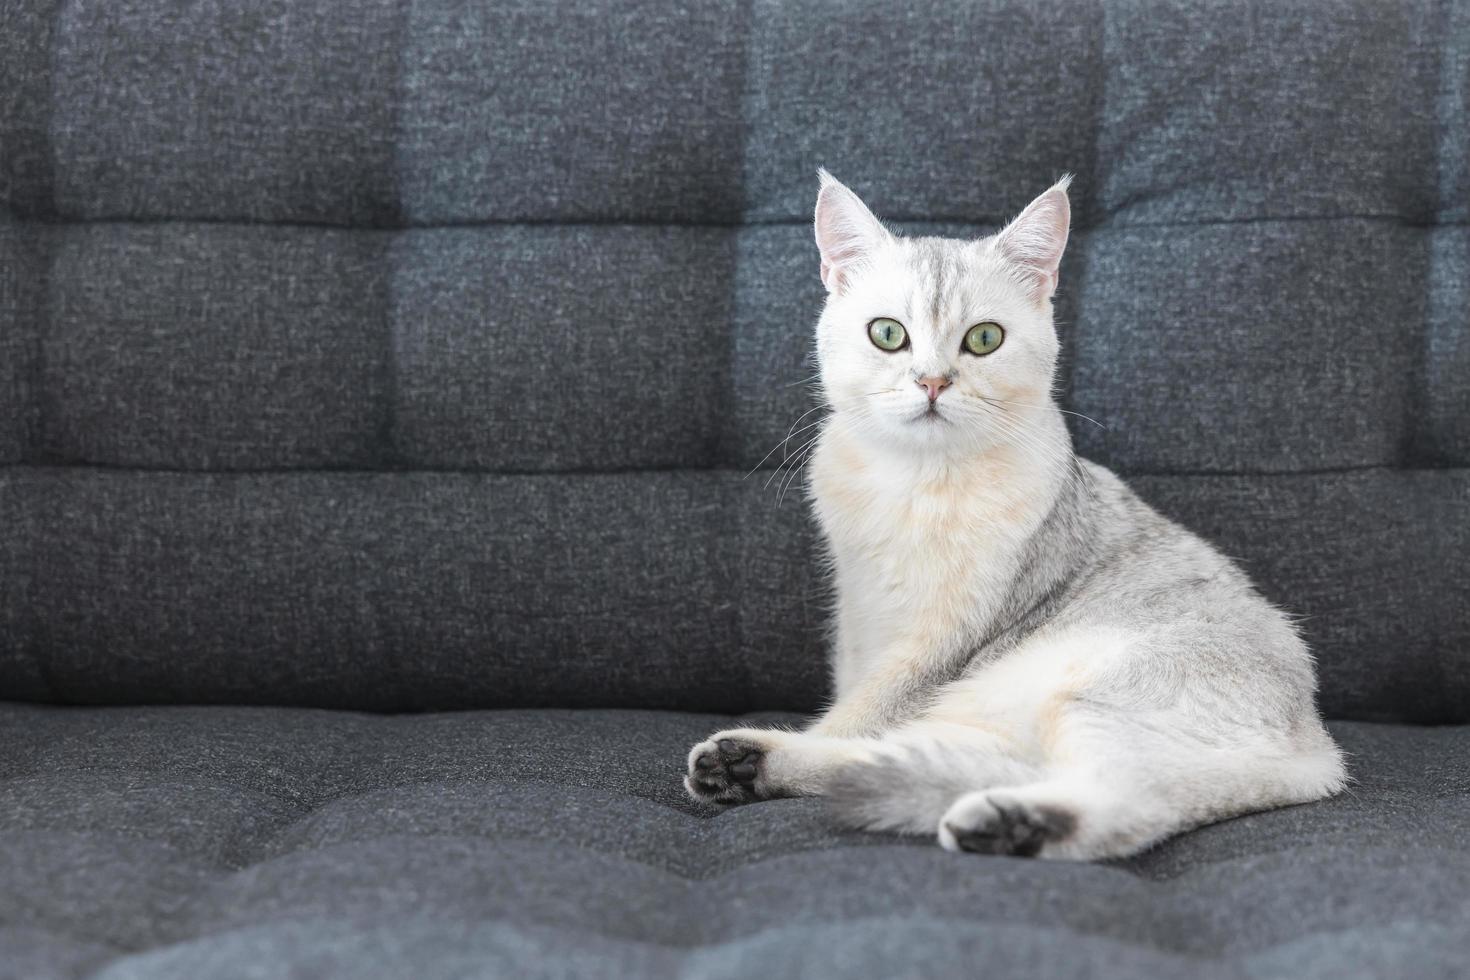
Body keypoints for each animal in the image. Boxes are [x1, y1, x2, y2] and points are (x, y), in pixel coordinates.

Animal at [682, 172, 1346, 863]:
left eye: (983, 339)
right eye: (888, 334)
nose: (932, 382)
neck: (916, 483)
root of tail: (1318, 747)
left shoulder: (947, 638)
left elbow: (865, 712)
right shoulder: (859, 614)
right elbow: (858, 706)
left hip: (1095, 695)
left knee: (1137, 797)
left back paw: (1008, 823)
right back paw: (746, 764)